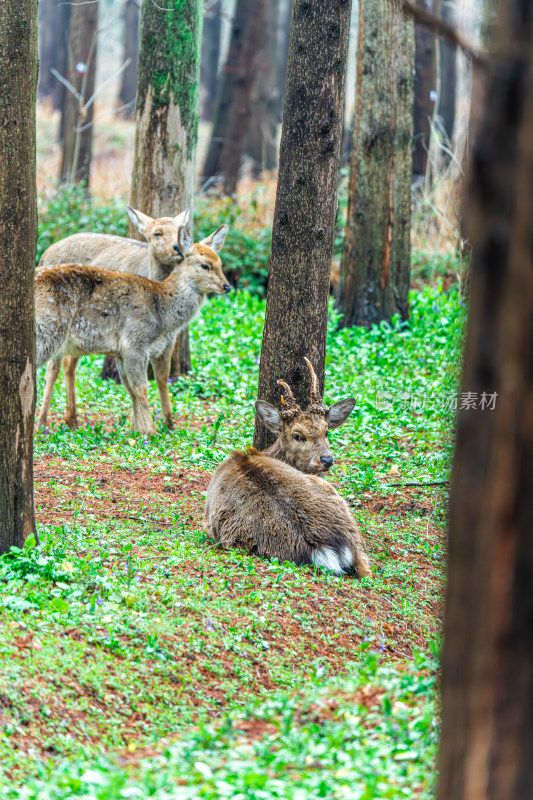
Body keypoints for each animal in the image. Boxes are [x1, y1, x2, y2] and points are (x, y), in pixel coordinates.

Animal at [36, 209, 228, 428]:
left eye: (220, 264)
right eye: (205, 265)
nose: (227, 286)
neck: (162, 312)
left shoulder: (136, 350)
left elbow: (141, 387)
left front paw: (153, 427)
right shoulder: (135, 342)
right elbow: (140, 388)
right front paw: (150, 431)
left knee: (66, 366)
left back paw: (70, 420)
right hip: (47, 334)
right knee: (48, 369)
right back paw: (42, 423)